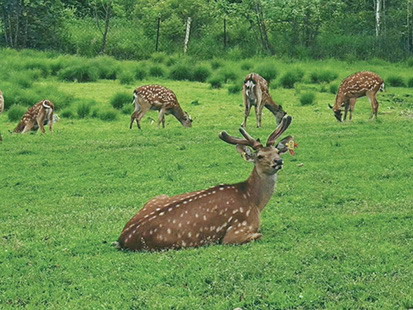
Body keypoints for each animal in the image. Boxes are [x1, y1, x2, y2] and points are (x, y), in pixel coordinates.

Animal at [116, 115, 296, 251]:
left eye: (277, 151)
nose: (278, 161)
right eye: (259, 156)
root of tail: (123, 238)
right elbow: (259, 234)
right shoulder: (236, 231)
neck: (255, 202)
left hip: (158, 196)